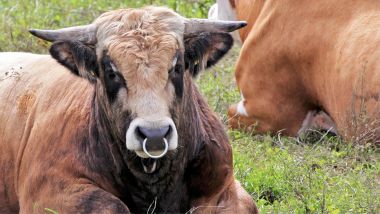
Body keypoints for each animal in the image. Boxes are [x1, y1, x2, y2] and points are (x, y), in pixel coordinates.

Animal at [0, 6, 258, 212]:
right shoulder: (48, 191)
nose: (154, 134)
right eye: (111, 72)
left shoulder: (227, 189)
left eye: (176, 67)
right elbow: (111, 205)